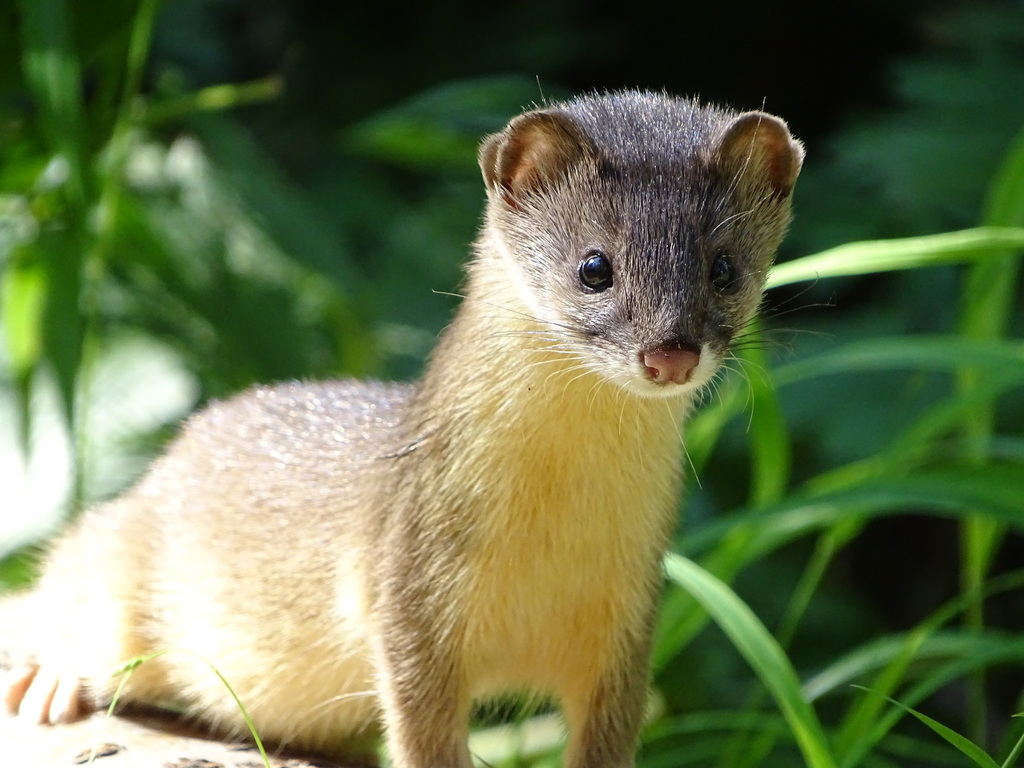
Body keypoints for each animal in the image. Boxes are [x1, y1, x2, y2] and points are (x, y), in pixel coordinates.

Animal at [0, 91, 802, 768]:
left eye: (726, 267)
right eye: (594, 266)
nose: (671, 352)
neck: (551, 541)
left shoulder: (628, 623)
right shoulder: (408, 599)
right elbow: (421, 731)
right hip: (125, 560)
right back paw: (51, 679)